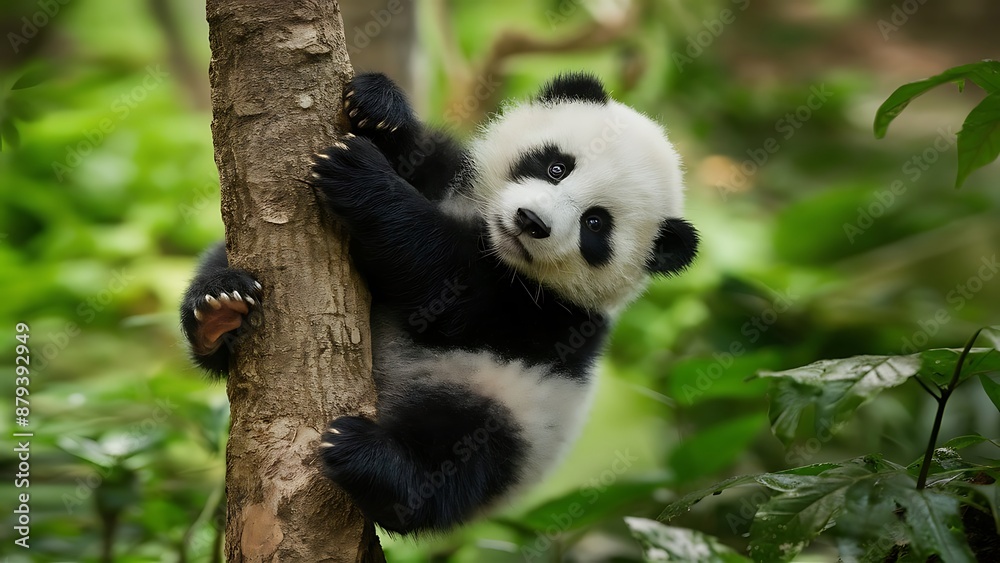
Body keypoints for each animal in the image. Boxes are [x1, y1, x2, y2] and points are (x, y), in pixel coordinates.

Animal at [179, 72, 698, 534]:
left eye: (595, 224)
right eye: (556, 166)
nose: (531, 221)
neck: (491, 238)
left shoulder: (546, 316)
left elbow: (444, 288)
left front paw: (361, 177)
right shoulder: (455, 178)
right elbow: (420, 156)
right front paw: (378, 109)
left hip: (502, 416)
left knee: (452, 462)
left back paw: (369, 456)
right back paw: (219, 311)